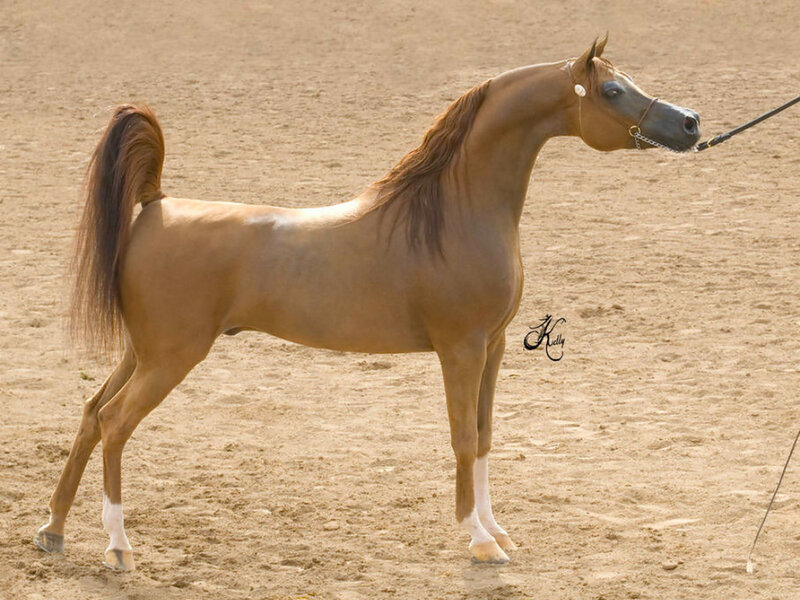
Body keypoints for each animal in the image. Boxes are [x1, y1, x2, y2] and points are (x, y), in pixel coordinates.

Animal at [34, 37, 701, 569]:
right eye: (612, 89)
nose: (691, 123)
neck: (453, 212)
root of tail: (156, 202)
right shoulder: (460, 350)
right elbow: (462, 438)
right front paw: (479, 541)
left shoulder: (494, 347)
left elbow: (485, 435)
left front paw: (496, 528)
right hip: (170, 358)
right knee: (115, 423)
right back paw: (118, 548)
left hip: (140, 352)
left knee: (91, 414)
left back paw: (53, 531)